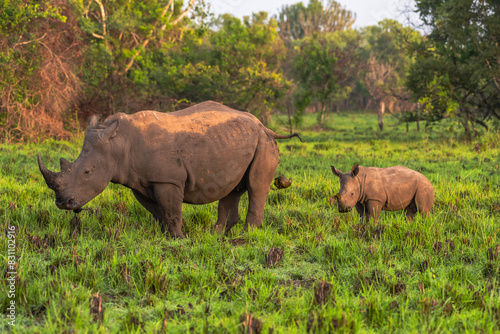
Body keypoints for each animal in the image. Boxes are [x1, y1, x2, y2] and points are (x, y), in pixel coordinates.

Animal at [38, 101, 300, 237]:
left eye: (87, 173)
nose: (61, 203)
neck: (118, 143)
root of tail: (264, 125)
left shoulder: (167, 179)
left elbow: (172, 211)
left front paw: (179, 240)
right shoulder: (140, 182)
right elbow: (158, 212)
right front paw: (166, 236)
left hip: (263, 142)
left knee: (256, 187)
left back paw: (245, 236)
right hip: (239, 141)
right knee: (231, 189)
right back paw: (217, 235)